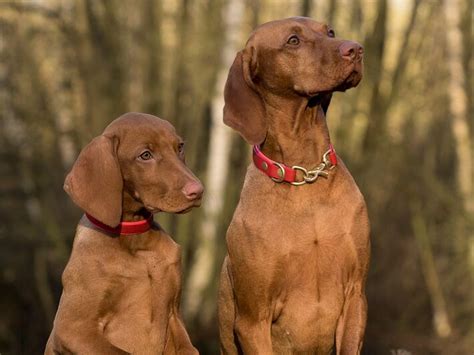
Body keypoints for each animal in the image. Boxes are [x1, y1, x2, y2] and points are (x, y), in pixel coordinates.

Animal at [46, 113, 204, 355]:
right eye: (145, 155)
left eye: (180, 147)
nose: (198, 191)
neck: (136, 242)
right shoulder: (72, 328)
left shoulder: (175, 317)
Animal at [218, 17, 370, 355]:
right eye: (293, 41)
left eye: (330, 31)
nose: (355, 49)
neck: (305, 174)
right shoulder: (253, 319)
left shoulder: (355, 295)